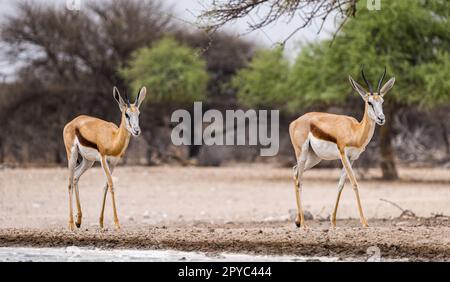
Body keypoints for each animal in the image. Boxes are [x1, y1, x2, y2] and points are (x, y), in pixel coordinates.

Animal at [62, 87, 146, 230]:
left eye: (139, 114)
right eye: (126, 114)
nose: (136, 131)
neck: (113, 139)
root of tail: (72, 122)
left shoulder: (113, 163)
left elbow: (106, 186)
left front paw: (101, 222)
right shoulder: (103, 160)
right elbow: (111, 184)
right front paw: (117, 224)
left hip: (88, 161)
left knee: (75, 177)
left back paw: (79, 220)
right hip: (72, 155)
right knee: (69, 182)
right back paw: (71, 224)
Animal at [290, 68, 396, 229]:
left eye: (382, 101)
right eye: (369, 102)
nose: (381, 118)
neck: (355, 131)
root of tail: (294, 122)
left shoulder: (353, 158)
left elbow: (340, 184)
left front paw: (333, 222)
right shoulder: (343, 153)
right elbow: (354, 183)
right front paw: (364, 222)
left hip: (315, 158)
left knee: (296, 172)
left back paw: (297, 221)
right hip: (302, 153)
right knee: (299, 180)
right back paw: (304, 224)